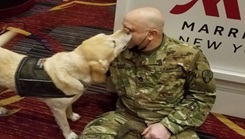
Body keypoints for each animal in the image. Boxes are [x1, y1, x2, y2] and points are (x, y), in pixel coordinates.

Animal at [0, 26, 131, 138]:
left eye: (107, 34)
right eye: (113, 43)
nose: (128, 30)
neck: (72, 71)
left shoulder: (67, 103)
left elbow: (70, 109)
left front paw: (72, 116)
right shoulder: (57, 110)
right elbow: (64, 124)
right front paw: (69, 134)